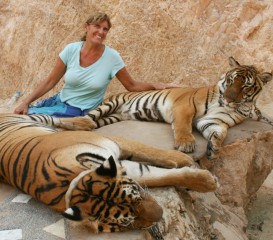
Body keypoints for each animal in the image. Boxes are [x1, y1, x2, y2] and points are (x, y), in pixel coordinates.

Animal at [0, 114, 217, 232]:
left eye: (136, 197)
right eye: (128, 221)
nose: (160, 214)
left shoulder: (114, 142)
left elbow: (152, 153)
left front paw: (190, 164)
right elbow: (159, 176)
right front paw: (206, 180)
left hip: (30, 117)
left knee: (54, 117)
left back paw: (85, 122)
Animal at [51, 57, 272, 160]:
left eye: (246, 86)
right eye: (231, 80)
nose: (228, 99)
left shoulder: (214, 121)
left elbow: (219, 134)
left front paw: (214, 149)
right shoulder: (185, 106)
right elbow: (183, 126)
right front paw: (186, 144)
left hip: (114, 117)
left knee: (92, 123)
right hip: (110, 103)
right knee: (86, 117)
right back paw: (68, 123)